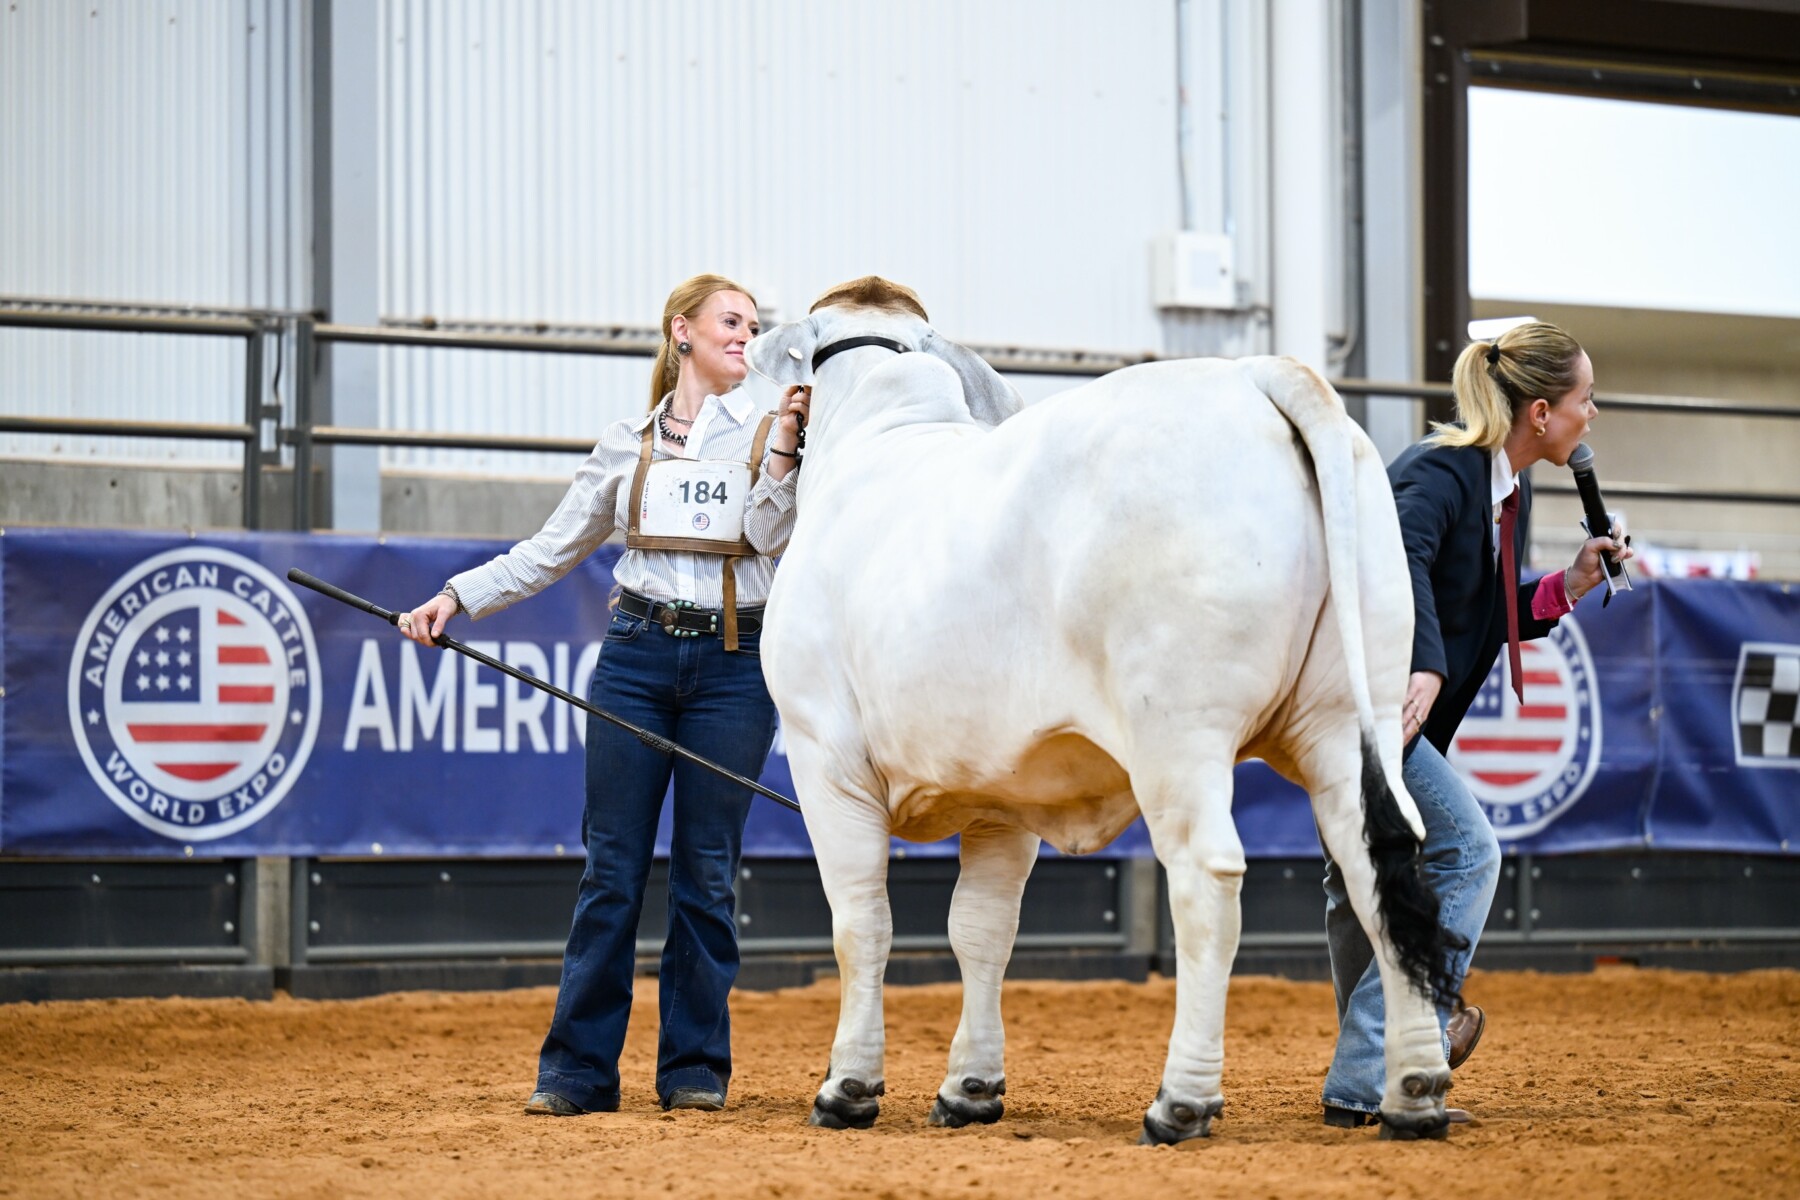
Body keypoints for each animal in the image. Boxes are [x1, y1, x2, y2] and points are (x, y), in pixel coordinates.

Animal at [746, 277, 1461, 1143]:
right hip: (1353, 723)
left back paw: (1182, 1101)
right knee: (1381, 863)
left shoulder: (826, 757)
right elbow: (981, 928)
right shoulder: (1005, 789)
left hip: (1179, 733)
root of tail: (1255, 374)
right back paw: (1414, 1092)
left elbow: (862, 923)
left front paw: (847, 1086)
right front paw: (970, 1087)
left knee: (1209, 879)